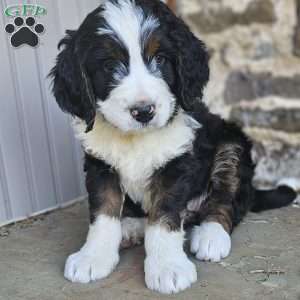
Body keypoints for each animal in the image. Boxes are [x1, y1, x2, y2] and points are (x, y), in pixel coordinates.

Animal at [49, 0, 298, 294]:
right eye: (109, 66)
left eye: (160, 59)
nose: (143, 111)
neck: (135, 138)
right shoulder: (101, 164)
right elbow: (103, 213)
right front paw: (92, 257)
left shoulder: (176, 164)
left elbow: (164, 219)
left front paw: (168, 268)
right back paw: (131, 226)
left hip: (231, 144)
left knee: (227, 200)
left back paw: (211, 235)